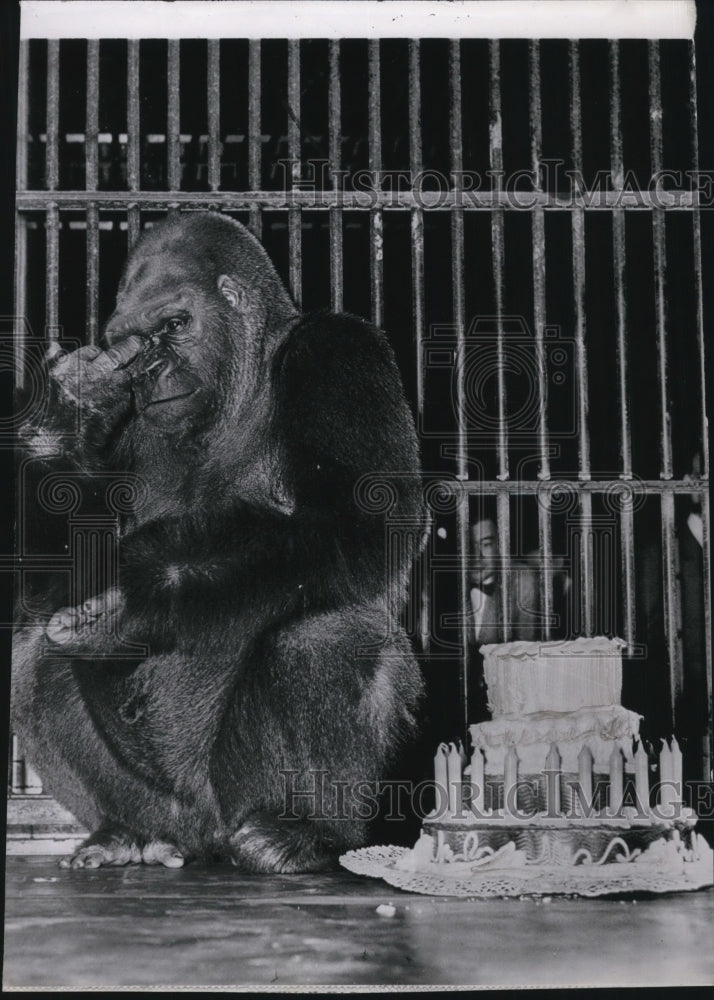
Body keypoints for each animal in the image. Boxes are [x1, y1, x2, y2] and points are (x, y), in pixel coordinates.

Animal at [11, 215, 426, 872]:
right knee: (36, 648)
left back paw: (303, 831)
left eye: (175, 325)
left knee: (330, 632)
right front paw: (65, 414)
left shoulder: (340, 350)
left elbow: (354, 523)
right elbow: (47, 560)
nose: (149, 372)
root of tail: (202, 836)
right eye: (131, 339)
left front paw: (141, 597)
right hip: (168, 807)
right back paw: (123, 832)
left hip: (232, 801)